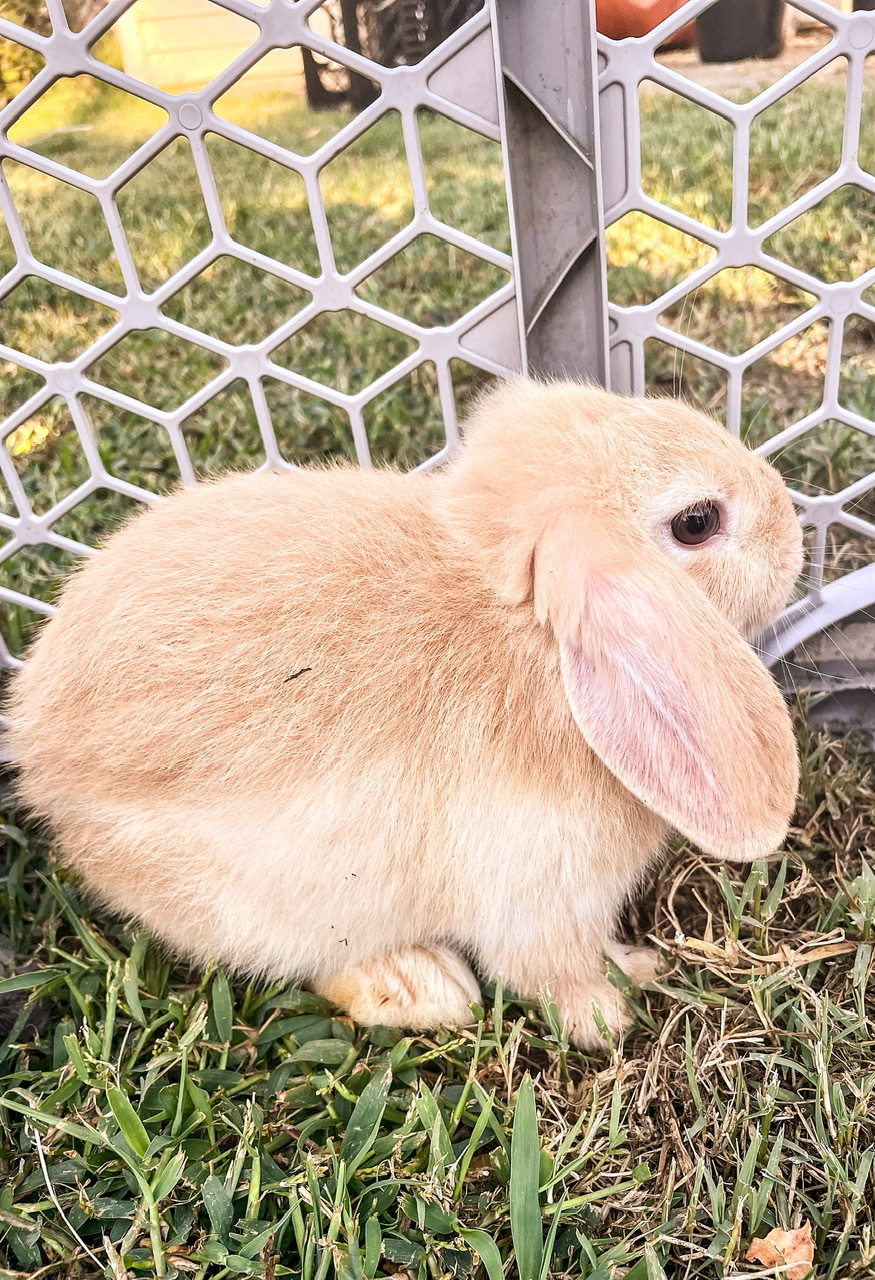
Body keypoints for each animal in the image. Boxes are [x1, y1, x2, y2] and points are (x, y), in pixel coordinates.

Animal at [6, 379, 804, 1049]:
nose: (794, 528)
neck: (526, 633)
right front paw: (614, 1003)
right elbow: (549, 970)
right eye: (697, 522)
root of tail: (38, 759)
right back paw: (427, 988)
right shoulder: (538, 902)